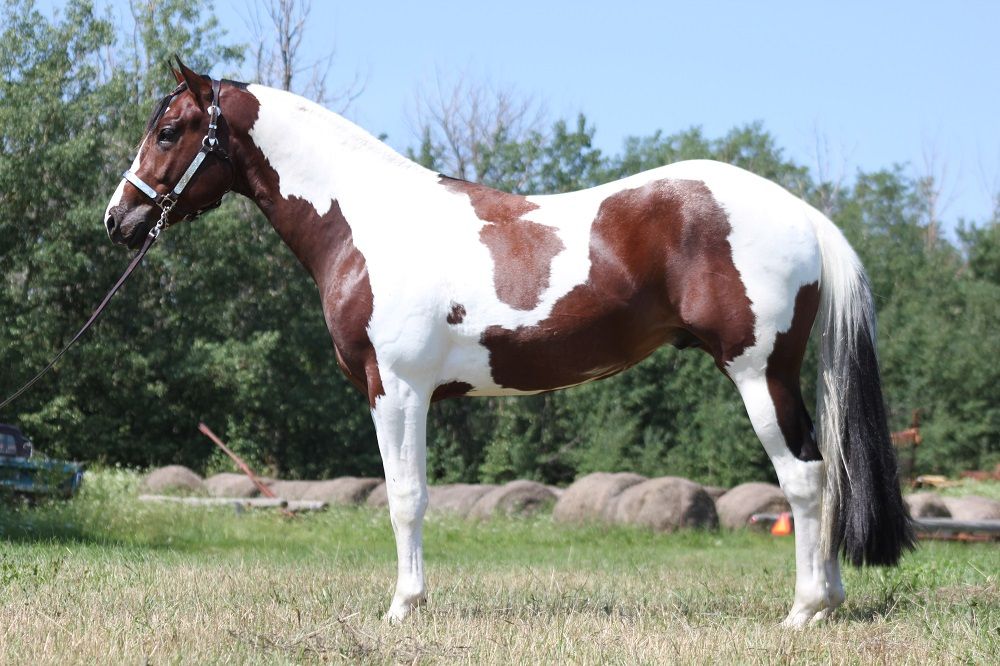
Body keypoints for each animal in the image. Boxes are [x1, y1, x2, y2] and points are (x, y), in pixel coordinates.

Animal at [103, 59, 916, 624]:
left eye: (169, 131)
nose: (117, 219)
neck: (367, 221)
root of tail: (803, 213)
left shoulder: (396, 389)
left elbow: (405, 498)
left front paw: (404, 608)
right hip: (781, 378)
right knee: (826, 470)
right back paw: (830, 602)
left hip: (757, 374)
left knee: (803, 478)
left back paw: (803, 612)